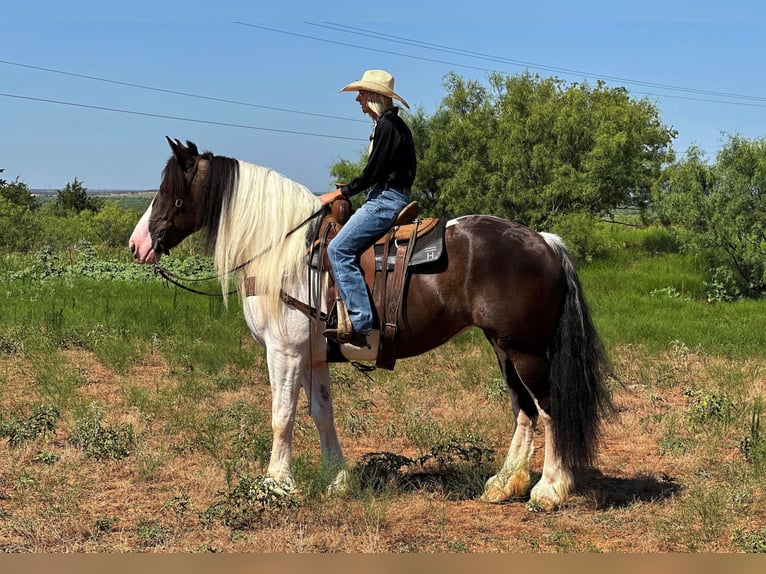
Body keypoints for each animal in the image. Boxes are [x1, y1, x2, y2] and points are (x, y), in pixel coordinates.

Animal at [129, 137, 616, 510]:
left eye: (170, 190)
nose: (137, 245)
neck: (285, 253)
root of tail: (544, 241)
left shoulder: (284, 353)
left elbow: (282, 416)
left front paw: (276, 486)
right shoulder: (312, 356)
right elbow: (321, 414)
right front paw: (338, 479)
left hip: (526, 350)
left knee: (548, 408)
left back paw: (548, 490)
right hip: (503, 348)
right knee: (523, 409)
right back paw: (504, 483)